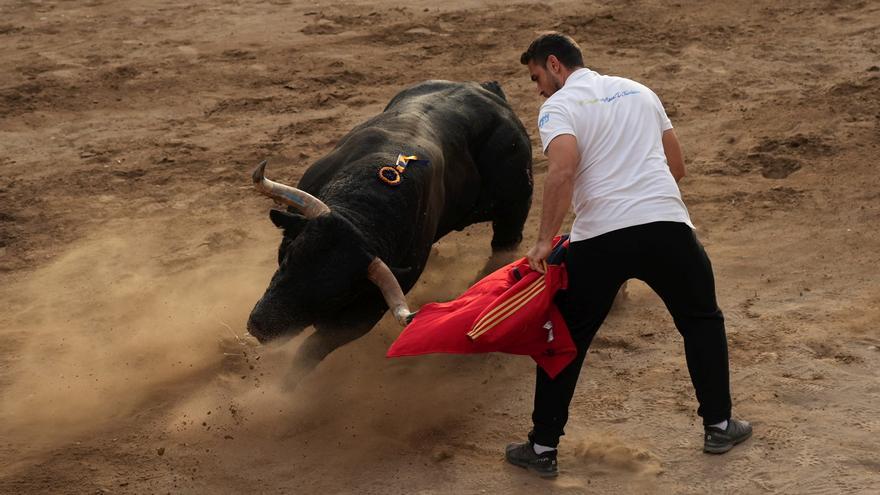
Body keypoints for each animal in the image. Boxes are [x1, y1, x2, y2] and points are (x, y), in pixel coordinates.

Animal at [249, 80, 536, 380]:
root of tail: (490, 91)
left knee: (504, 247)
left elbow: (313, 349)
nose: (260, 326)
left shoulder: (368, 309)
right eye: (290, 256)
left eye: (337, 293)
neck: (365, 204)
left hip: (515, 207)